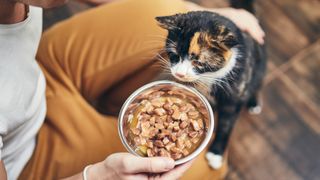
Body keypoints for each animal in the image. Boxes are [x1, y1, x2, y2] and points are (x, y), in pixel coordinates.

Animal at [156, 5, 266, 169]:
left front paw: (216, 153)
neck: (208, 78)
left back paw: (253, 103)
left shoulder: (233, 98)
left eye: (198, 62)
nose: (180, 74)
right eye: (174, 55)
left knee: (256, 85)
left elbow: (226, 125)